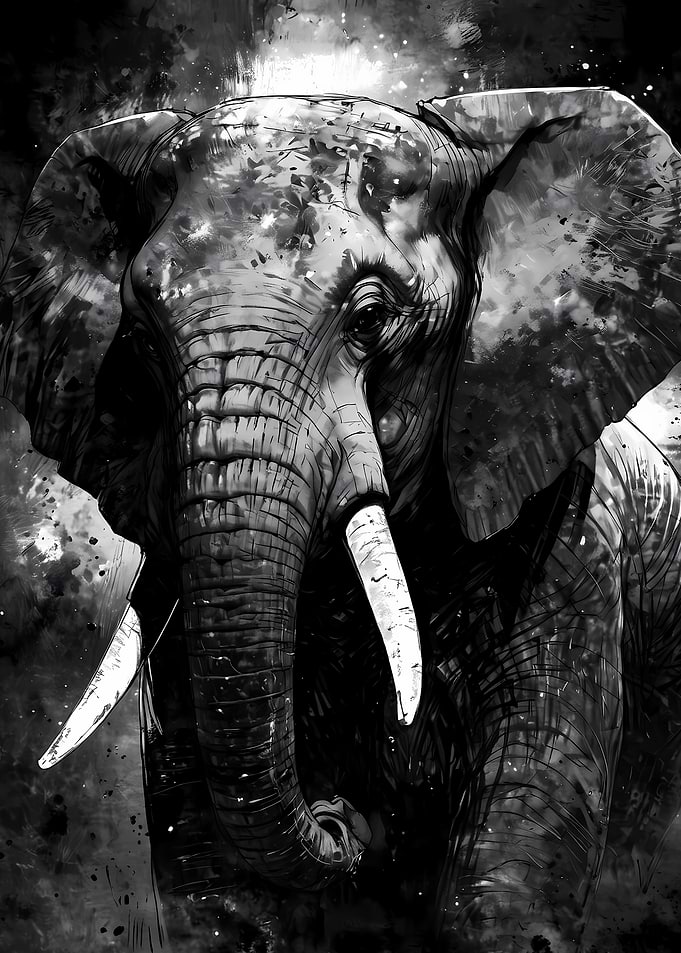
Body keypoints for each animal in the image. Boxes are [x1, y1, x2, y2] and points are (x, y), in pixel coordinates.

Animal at [3, 85, 681, 952]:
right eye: (142, 338)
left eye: (368, 320)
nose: (342, 817)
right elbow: (214, 883)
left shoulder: (573, 550)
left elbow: (504, 871)